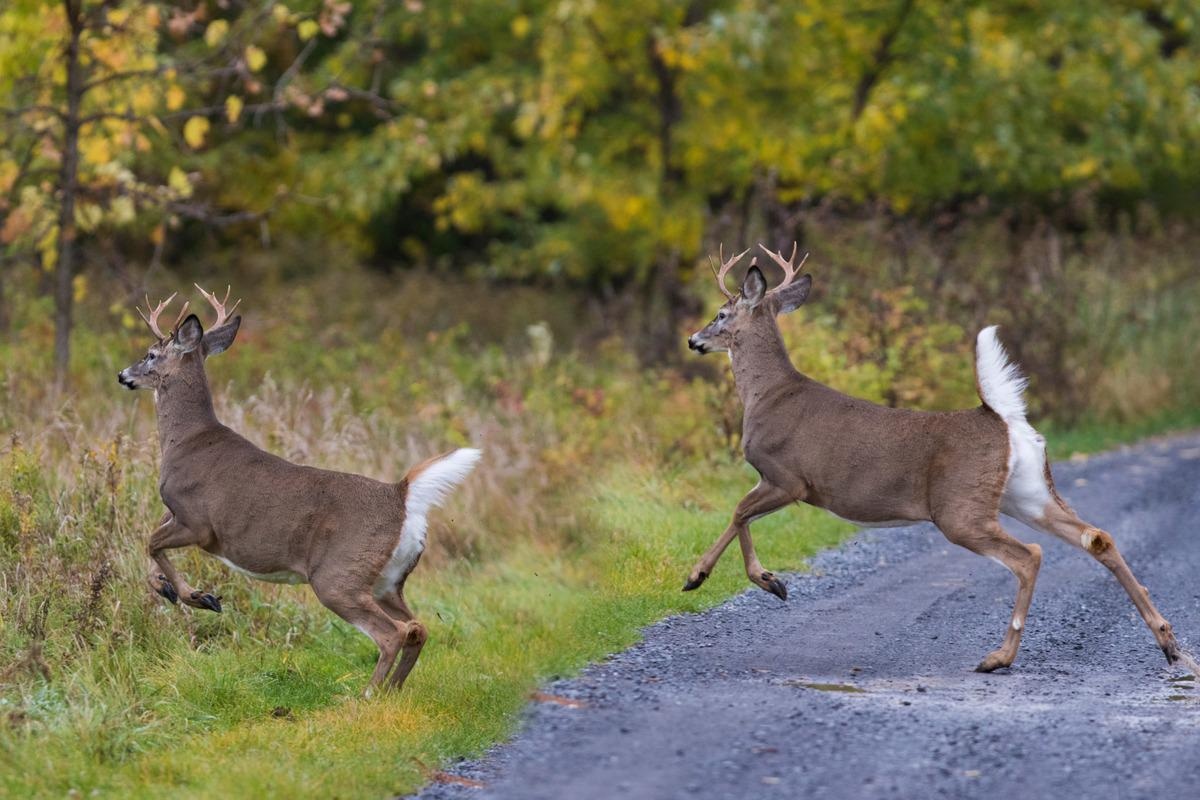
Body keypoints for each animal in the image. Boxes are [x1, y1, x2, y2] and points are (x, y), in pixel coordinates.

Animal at [117, 286, 481, 692]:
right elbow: (149, 548)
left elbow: (150, 542)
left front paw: (197, 596)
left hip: (338, 574)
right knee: (418, 627)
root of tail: (400, 494)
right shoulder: (174, 513)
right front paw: (172, 589)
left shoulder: (197, 521)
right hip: (388, 580)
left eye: (150, 354)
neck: (185, 441)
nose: (122, 375)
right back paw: (392, 691)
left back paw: (367, 694)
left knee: (393, 633)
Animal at [683, 243, 1190, 673]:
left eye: (721, 313)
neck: (767, 395)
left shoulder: (787, 476)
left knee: (1029, 555)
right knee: (1097, 537)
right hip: (1027, 493)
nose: (693, 340)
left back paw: (999, 657)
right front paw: (728, 578)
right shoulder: (775, 480)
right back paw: (1170, 644)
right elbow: (740, 515)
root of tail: (1003, 419)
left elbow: (738, 512)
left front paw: (736, 578)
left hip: (958, 507)